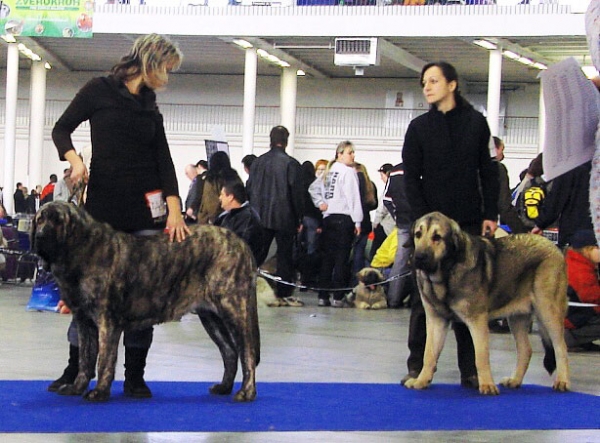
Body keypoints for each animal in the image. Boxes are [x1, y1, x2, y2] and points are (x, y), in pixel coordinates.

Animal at [31, 203, 258, 404]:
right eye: (40, 219)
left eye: (59, 221)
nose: (40, 236)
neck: (82, 251)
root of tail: (242, 244)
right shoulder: (84, 321)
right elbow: (85, 359)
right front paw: (77, 387)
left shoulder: (107, 322)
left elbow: (104, 360)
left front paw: (99, 392)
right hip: (210, 317)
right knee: (230, 351)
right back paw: (224, 387)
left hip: (233, 309)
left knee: (247, 352)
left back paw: (246, 392)